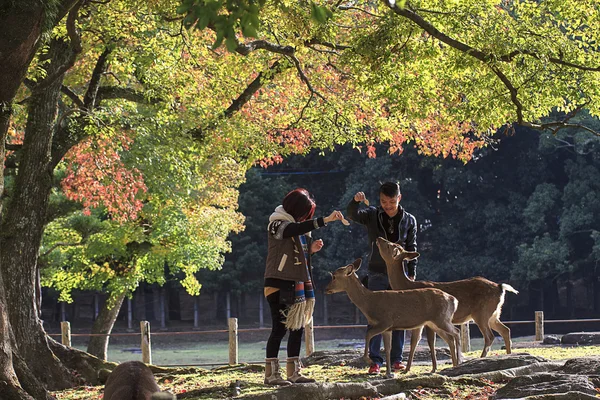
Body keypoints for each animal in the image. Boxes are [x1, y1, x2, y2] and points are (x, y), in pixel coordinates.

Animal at [326, 258, 462, 376]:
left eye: (334, 276)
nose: (326, 289)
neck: (369, 303)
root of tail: (454, 300)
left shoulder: (385, 321)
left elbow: (368, 334)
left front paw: (368, 360)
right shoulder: (387, 328)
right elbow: (387, 348)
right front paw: (388, 373)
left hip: (441, 318)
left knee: (456, 331)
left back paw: (458, 363)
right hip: (434, 322)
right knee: (450, 337)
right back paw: (452, 365)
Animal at [376, 238, 520, 360]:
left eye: (389, 245)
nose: (378, 238)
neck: (408, 286)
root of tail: (500, 287)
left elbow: (430, 342)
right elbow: (416, 342)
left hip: (482, 313)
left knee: (490, 336)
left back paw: (482, 358)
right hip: (494, 314)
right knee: (505, 330)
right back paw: (508, 355)